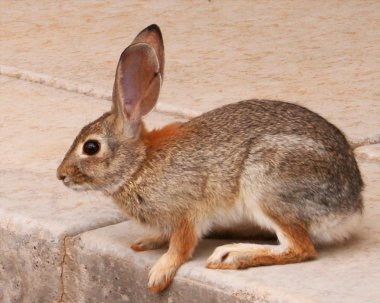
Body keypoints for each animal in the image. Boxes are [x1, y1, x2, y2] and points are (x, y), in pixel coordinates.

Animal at [56, 24, 362, 294]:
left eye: (91, 147)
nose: (61, 175)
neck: (139, 165)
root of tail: (351, 207)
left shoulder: (188, 211)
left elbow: (181, 245)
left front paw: (159, 274)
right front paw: (146, 242)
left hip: (267, 186)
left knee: (300, 247)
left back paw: (231, 255)